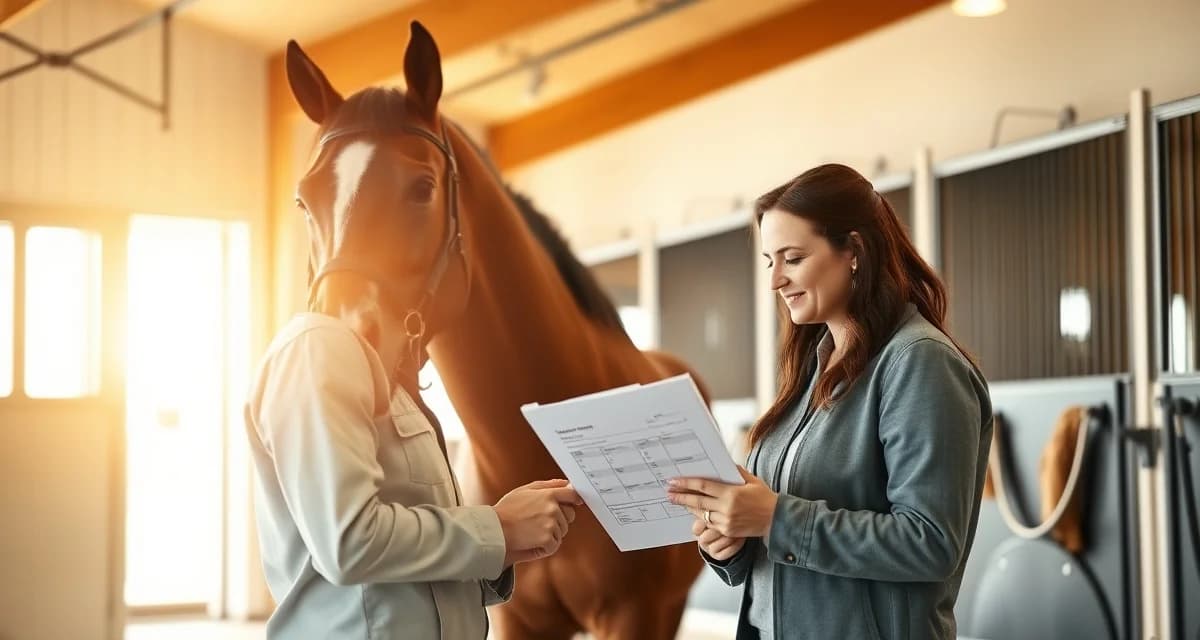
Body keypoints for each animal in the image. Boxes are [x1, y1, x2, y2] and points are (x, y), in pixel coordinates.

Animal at [286, 21, 708, 639]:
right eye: (304, 200)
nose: (339, 340)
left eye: (422, 188)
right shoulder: (520, 621)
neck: (527, 447)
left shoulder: (635, 615)